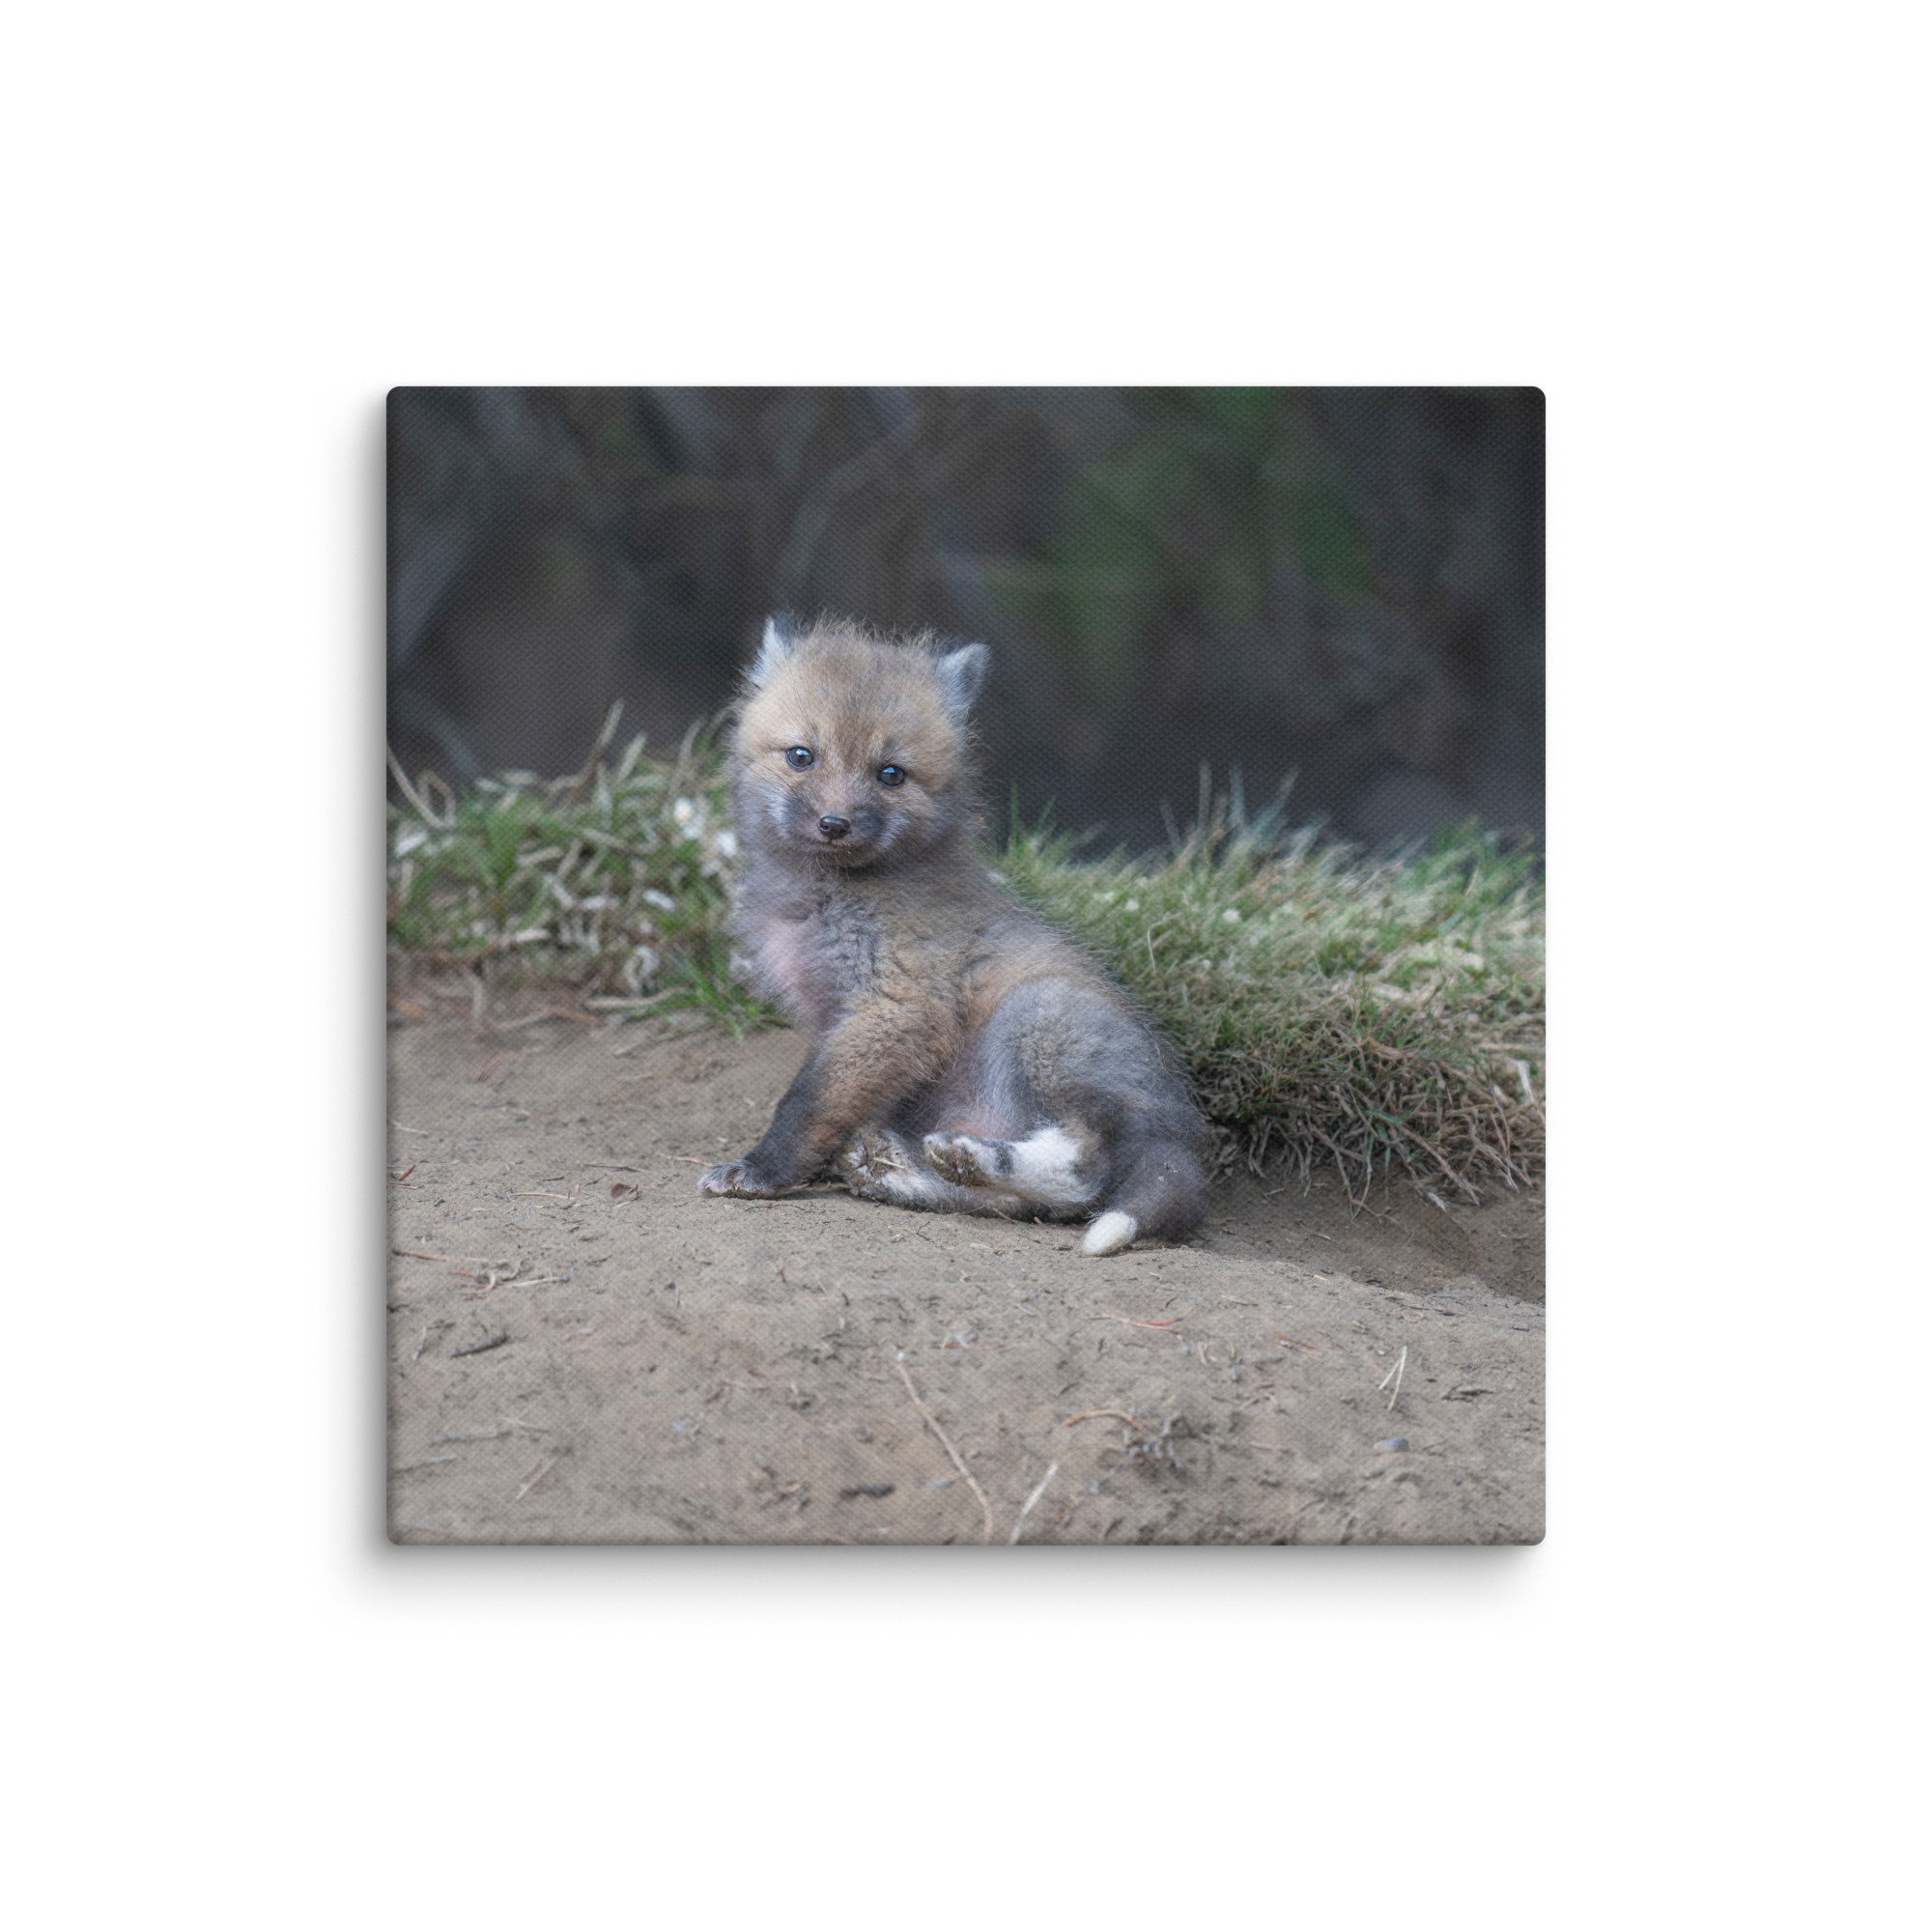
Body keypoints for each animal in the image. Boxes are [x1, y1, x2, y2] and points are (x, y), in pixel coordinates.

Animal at [698, 615, 1211, 1257]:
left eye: (890, 774)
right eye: (801, 756)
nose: (834, 824)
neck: (825, 897)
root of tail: (1181, 1134)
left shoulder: (897, 1006)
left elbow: (807, 1102)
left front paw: (763, 1170)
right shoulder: (845, 1022)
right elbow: (832, 1102)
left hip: (1037, 1017)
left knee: (1084, 1172)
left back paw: (969, 1157)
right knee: (1027, 1206)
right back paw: (906, 1170)